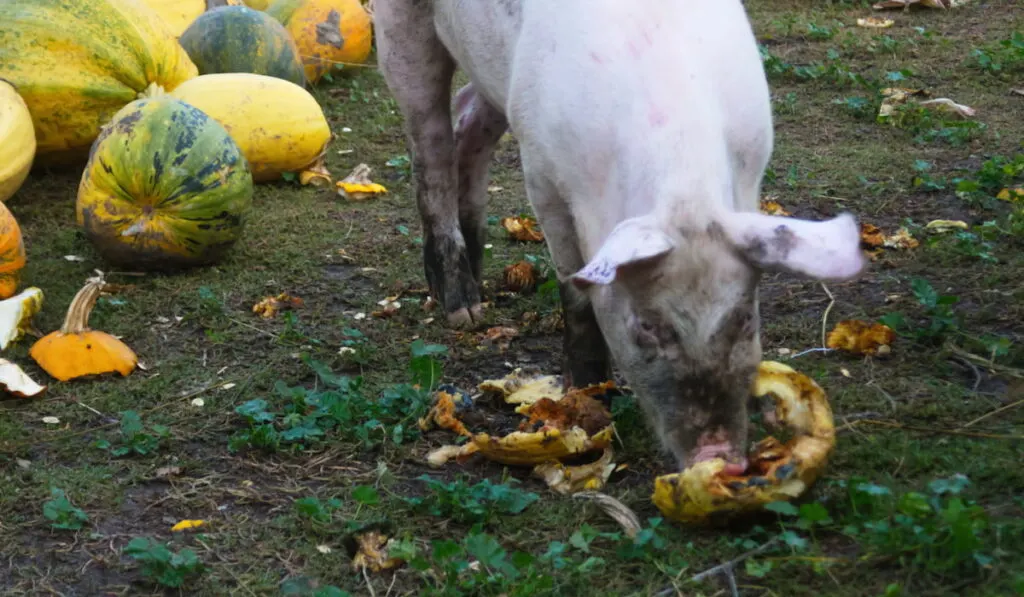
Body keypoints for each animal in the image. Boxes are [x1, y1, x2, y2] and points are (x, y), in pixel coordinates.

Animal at [372, 1, 868, 477]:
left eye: (745, 319)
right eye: (647, 326)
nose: (721, 456)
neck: (683, 188)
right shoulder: (544, 179)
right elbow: (574, 288)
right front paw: (586, 398)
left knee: (470, 116)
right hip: (402, 32)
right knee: (431, 146)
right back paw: (465, 311)